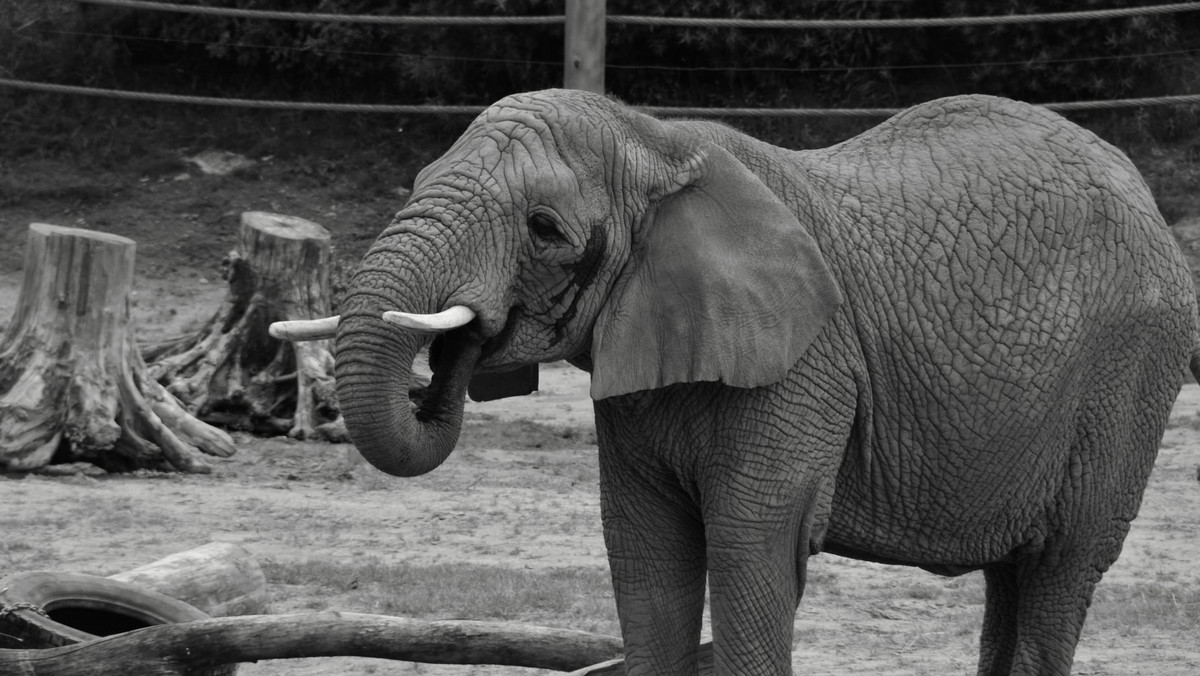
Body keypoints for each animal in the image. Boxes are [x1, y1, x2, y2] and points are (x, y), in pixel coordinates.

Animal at [272, 91, 1200, 676]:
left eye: (543, 228)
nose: (449, 362)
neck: (653, 139)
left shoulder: (805, 362)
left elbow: (755, 544)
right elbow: (645, 554)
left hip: (1133, 370)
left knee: (1062, 566)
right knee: (1013, 579)